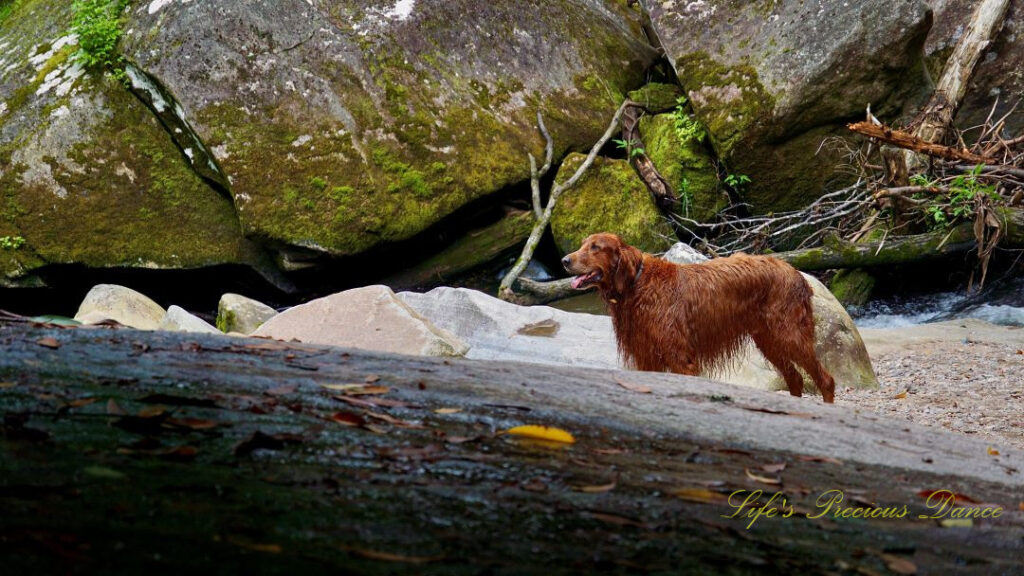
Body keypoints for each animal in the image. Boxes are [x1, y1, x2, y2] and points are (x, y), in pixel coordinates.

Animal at [565, 230, 835, 401]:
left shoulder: (680, 357)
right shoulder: (646, 357)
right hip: (768, 339)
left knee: (825, 380)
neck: (636, 284)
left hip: (789, 335)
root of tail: (796, 273)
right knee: (795, 378)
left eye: (596, 247)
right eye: (583, 244)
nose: (565, 260)